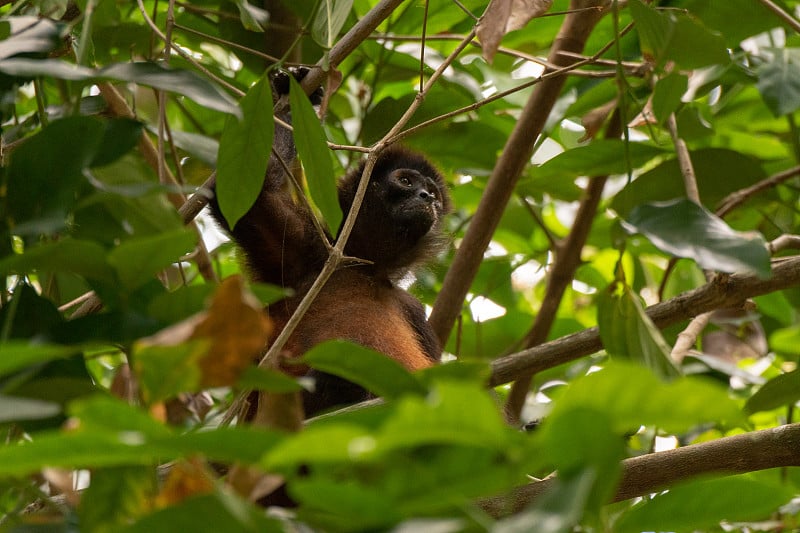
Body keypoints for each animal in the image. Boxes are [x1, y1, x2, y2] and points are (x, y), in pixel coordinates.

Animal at [209, 68, 450, 418]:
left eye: (433, 192)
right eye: (406, 181)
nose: (427, 198)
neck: (363, 265)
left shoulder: (411, 307)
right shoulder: (305, 250)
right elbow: (250, 195)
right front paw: (297, 91)